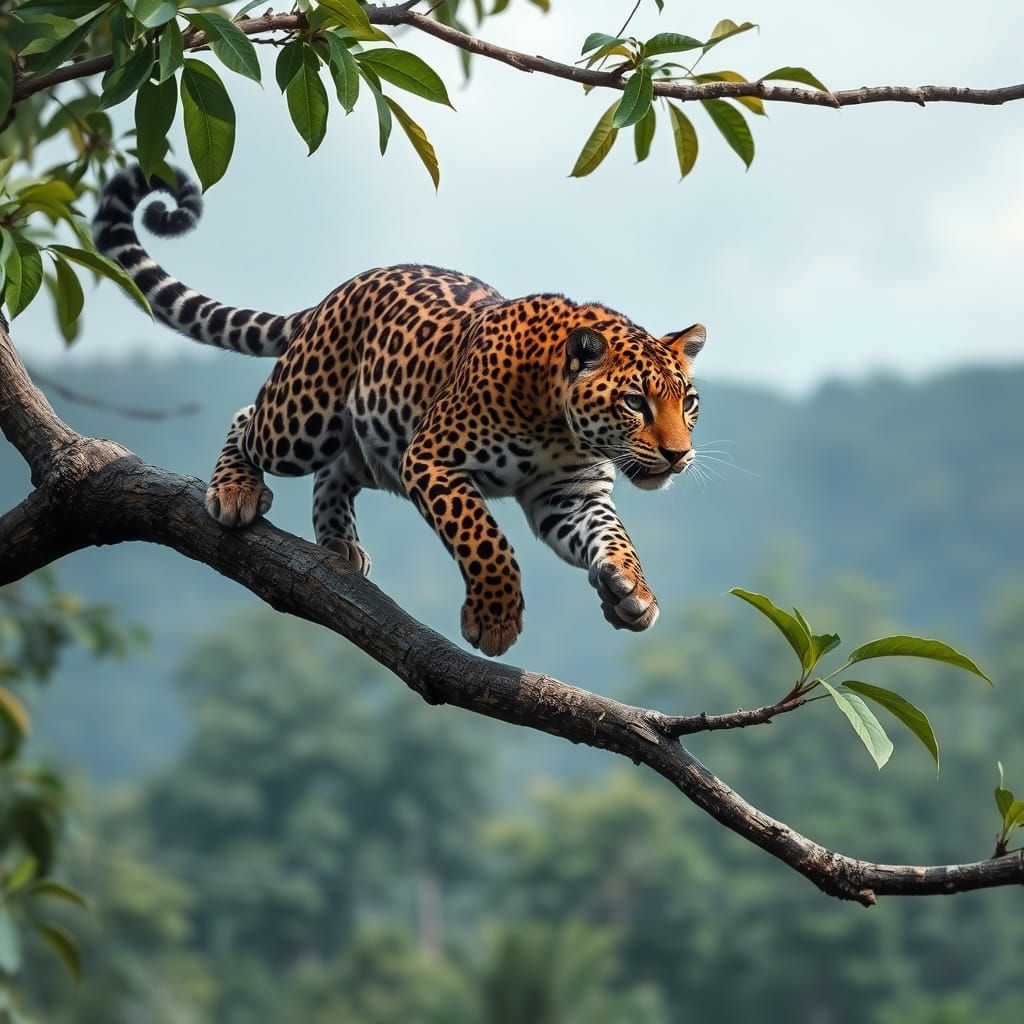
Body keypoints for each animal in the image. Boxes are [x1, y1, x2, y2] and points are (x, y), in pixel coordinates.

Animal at [93, 165, 706, 657]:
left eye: (688, 402)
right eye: (635, 401)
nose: (679, 456)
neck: (563, 426)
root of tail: (338, 292)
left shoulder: (569, 495)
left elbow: (615, 536)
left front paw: (630, 591)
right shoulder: (433, 460)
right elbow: (486, 539)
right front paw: (494, 619)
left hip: (375, 439)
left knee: (335, 471)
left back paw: (339, 541)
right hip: (304, 422)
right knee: (248, 418)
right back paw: (235, 489)